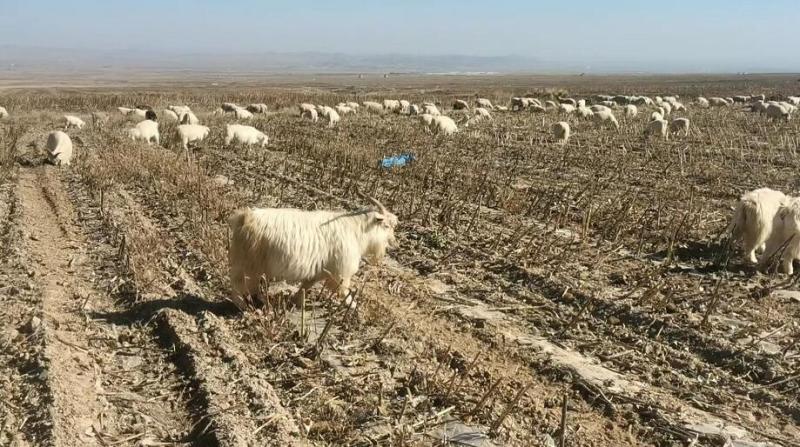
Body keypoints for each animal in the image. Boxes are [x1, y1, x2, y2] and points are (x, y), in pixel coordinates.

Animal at [228, 197, 396, 306]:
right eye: (386, 226)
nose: (393, 243)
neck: (356, 230)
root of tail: (245, 217)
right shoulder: (340, 273)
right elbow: (343, 291)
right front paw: (353, 307)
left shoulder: (318, 271)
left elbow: (306, 286)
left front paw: (296, 302)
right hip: (250, 263)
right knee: (239, 285)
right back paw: (245, 305)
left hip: (242, 261)